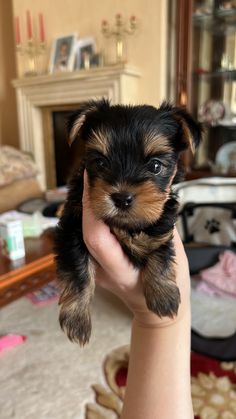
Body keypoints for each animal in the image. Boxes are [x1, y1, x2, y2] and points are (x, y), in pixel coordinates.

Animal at [54, 100, 201, 346]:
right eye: (100, 163)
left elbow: (160, 253)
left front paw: (164, 296)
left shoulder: (162, 228)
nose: (122, 198)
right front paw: (77, 319)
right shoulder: (72, 229)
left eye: (155, 166)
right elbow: (78, 269)